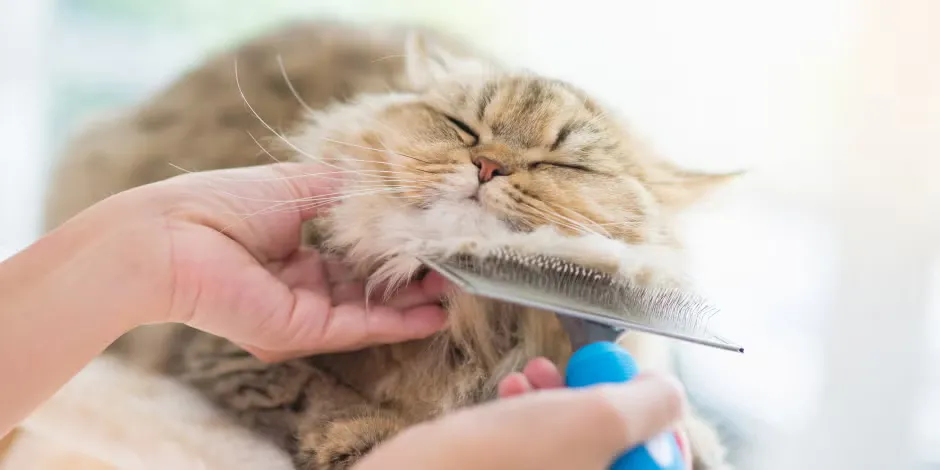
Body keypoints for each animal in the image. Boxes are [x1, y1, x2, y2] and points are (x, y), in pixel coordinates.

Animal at [22, 19, 736, 470]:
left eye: (564, 164)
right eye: (461, 127)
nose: (488, 166)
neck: (469, 331)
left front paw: (694, 442)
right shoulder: (217, 349)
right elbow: (313, 393)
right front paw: (365, 439)